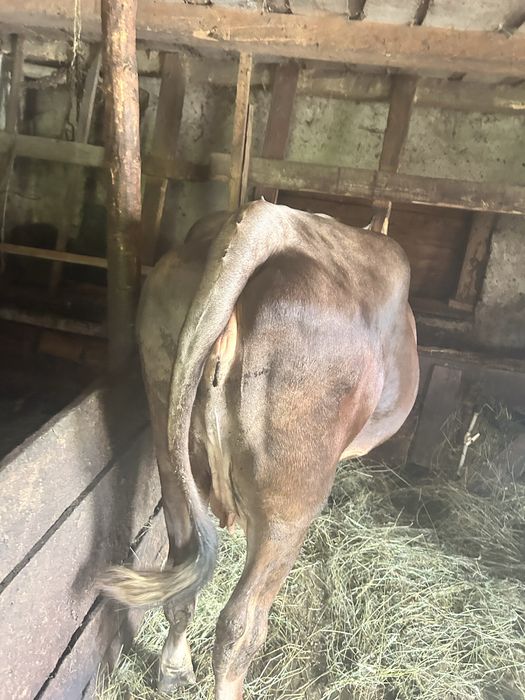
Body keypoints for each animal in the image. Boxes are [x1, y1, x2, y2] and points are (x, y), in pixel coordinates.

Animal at [101, 200, 419, 700]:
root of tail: (270, 220)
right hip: (290, 505)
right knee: (240, 627)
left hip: (169, 453)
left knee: (183, 575)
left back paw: (174, 669)